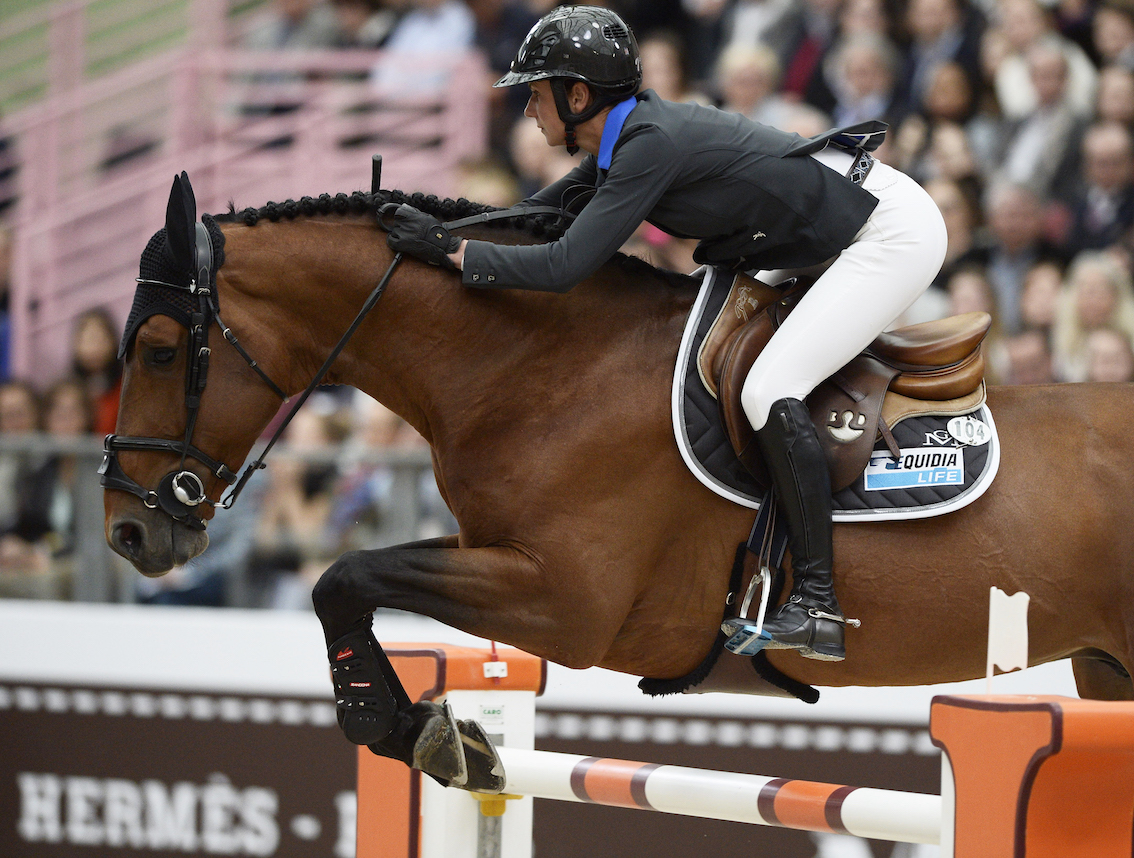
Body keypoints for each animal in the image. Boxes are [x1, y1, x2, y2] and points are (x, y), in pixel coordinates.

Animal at [104, 174, 1134, 788]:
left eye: (157, 350)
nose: (128, 532)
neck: (536, 366)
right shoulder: (506, 559)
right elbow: (349, 583)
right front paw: (440, 732)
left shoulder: (568, 602)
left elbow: (342, 577)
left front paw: (404, 728)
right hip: (1104, 672)